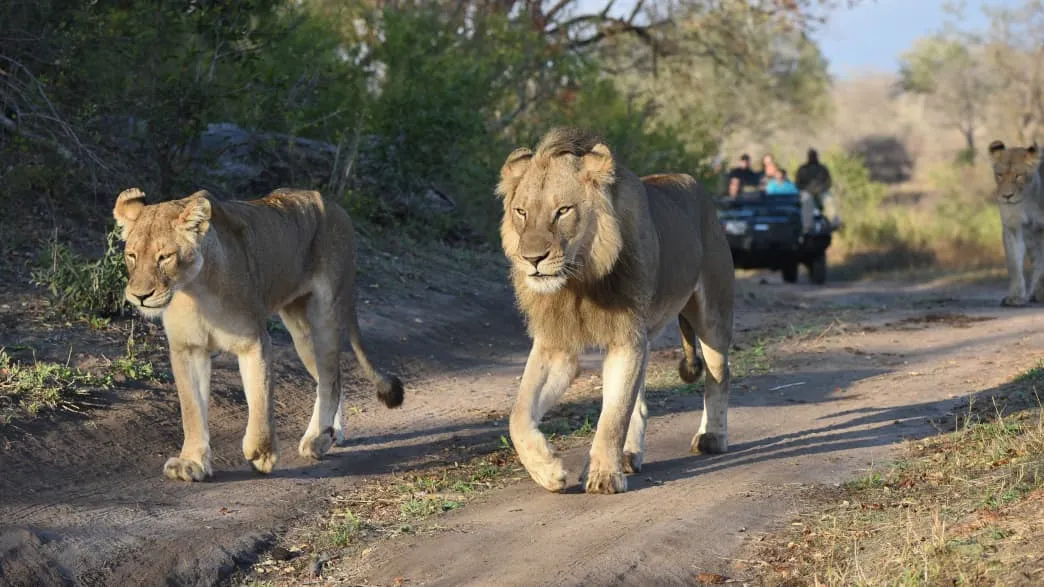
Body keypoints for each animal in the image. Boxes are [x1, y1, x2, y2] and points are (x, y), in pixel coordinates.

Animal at [112, 187, 404, 481]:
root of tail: (333, 204)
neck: (194, 291)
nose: (140, 296)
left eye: (165, 257)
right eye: (132, 256)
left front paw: (262, 454)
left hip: (325, 313)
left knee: (331, 380)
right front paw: (191, 462)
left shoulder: (254, 341)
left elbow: (260, 401)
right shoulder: (188, 349)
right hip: (302, 332)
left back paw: (319, 439)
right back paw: (334, 433)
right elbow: (191, 410)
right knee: (332, 378)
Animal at [496, 127, 735, 494]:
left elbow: (613, 416)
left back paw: (712, 437)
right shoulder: (557, 344)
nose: (532, 259)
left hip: (712, 318)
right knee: (638, 400)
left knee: (718, 376)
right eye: (521, 212)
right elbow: (518, 415)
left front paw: (604, 476)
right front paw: (548, 471)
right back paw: (628, 455)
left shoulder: (626, 338)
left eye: (562, 211)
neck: (578, 281)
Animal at [988, 140, 1044, 306]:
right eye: (999, 175)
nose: (1007, 196)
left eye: (1018, 175)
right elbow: (1013, 263)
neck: (1027, 200)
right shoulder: (1013, 227)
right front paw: (1015, 297)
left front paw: (1039, 292)